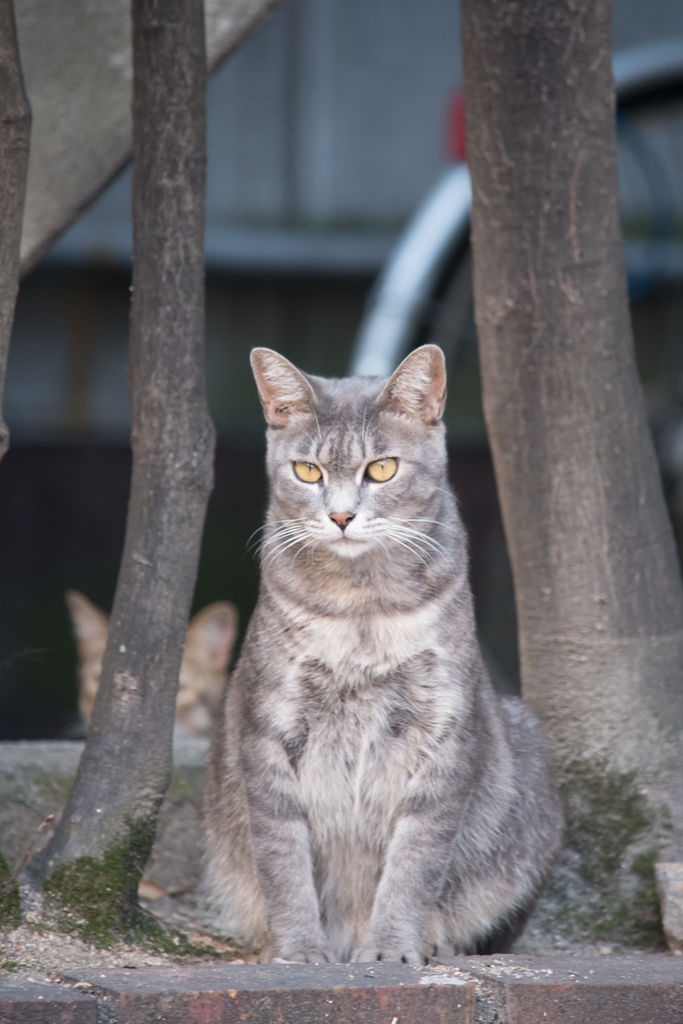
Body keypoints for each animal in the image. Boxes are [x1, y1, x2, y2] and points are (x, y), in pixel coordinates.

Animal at [201, 348, 561, 962]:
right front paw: (299, 948)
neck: (360, 610)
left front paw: (392, 946)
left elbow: (414, 862)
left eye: (383, 469)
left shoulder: (444, 731)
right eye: (308, 471)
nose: (342, 517)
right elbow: (282, 858)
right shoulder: (266, 726)